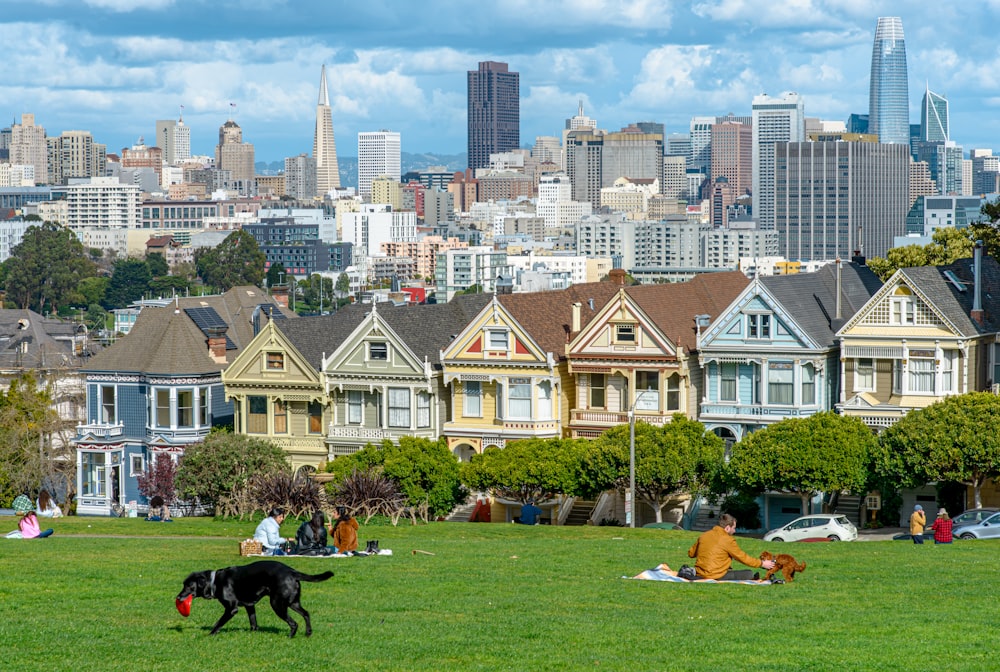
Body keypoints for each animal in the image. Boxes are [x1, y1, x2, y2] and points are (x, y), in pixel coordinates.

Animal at [178, 560, 334, 636]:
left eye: (188, 586)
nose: (178, 597)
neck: (214, 581)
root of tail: (292, 572)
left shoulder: (231, 609)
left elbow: (218, 623)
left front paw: (210, 634)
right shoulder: (249, 606)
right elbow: (253, 623)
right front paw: (252, 634)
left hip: (277, 603)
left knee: (294, 623)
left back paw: (290, 637)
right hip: (293, 602)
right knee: (306, 614)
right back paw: (308, 633)